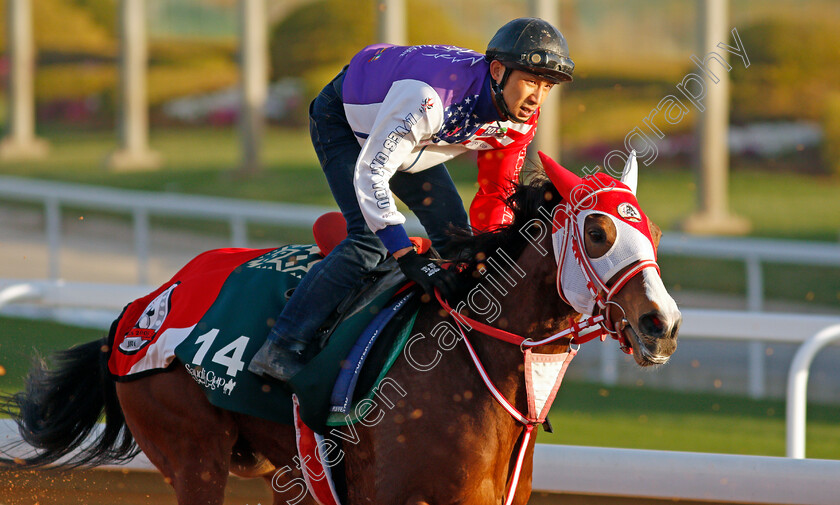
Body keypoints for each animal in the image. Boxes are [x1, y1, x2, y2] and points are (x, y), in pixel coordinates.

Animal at [1, 154, 684, 504]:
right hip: (192, 451)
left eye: (649, 229)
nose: (664, 324)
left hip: (283, 469)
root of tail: (139, 312)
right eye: (597, 231)